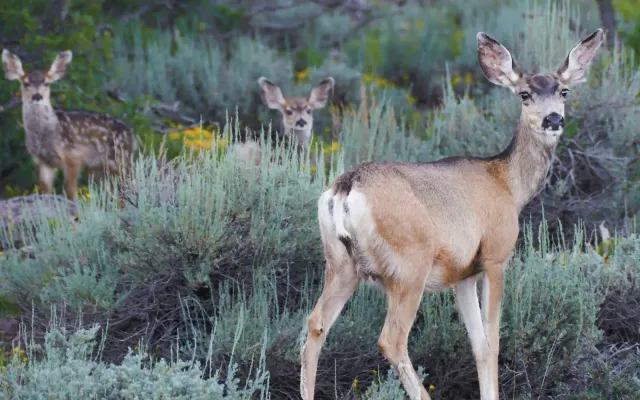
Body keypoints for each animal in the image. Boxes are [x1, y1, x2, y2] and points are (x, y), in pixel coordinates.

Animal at [2, 49, 138, 203]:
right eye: (26, 83)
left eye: (47, 83)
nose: (37, 96)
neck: (47, 133)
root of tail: (131, 134)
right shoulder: (43, 161)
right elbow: (45, 191)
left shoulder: (74, 156)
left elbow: (70, 191)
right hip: (99, 168)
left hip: (121, 159)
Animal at [300, 28, 605, 400]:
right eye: (524, 94)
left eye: (563, 91)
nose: (554, 120)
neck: (507, 183)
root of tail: (345, 187)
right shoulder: (495, 256)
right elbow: (494, 343)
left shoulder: (462, 275)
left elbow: (479, 346)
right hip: (409, 265)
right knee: (391, 338)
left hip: (341, 263)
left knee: (316, 324)